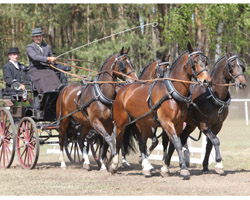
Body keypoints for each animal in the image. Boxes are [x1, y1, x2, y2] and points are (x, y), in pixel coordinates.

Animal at [111, 42, 211, 178]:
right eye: (194, 61)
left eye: (205, 61)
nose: (206, 80)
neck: (172, 92)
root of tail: (122, 90)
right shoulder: (166, 122)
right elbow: (176, 143)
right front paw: (184, 169)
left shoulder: (178, 124)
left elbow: (172, 145)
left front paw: (165, 168)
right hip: (122, 123)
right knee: (118, 140)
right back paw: (114, 165)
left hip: (142, 124)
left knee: (142, 143)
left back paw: (146, 168)